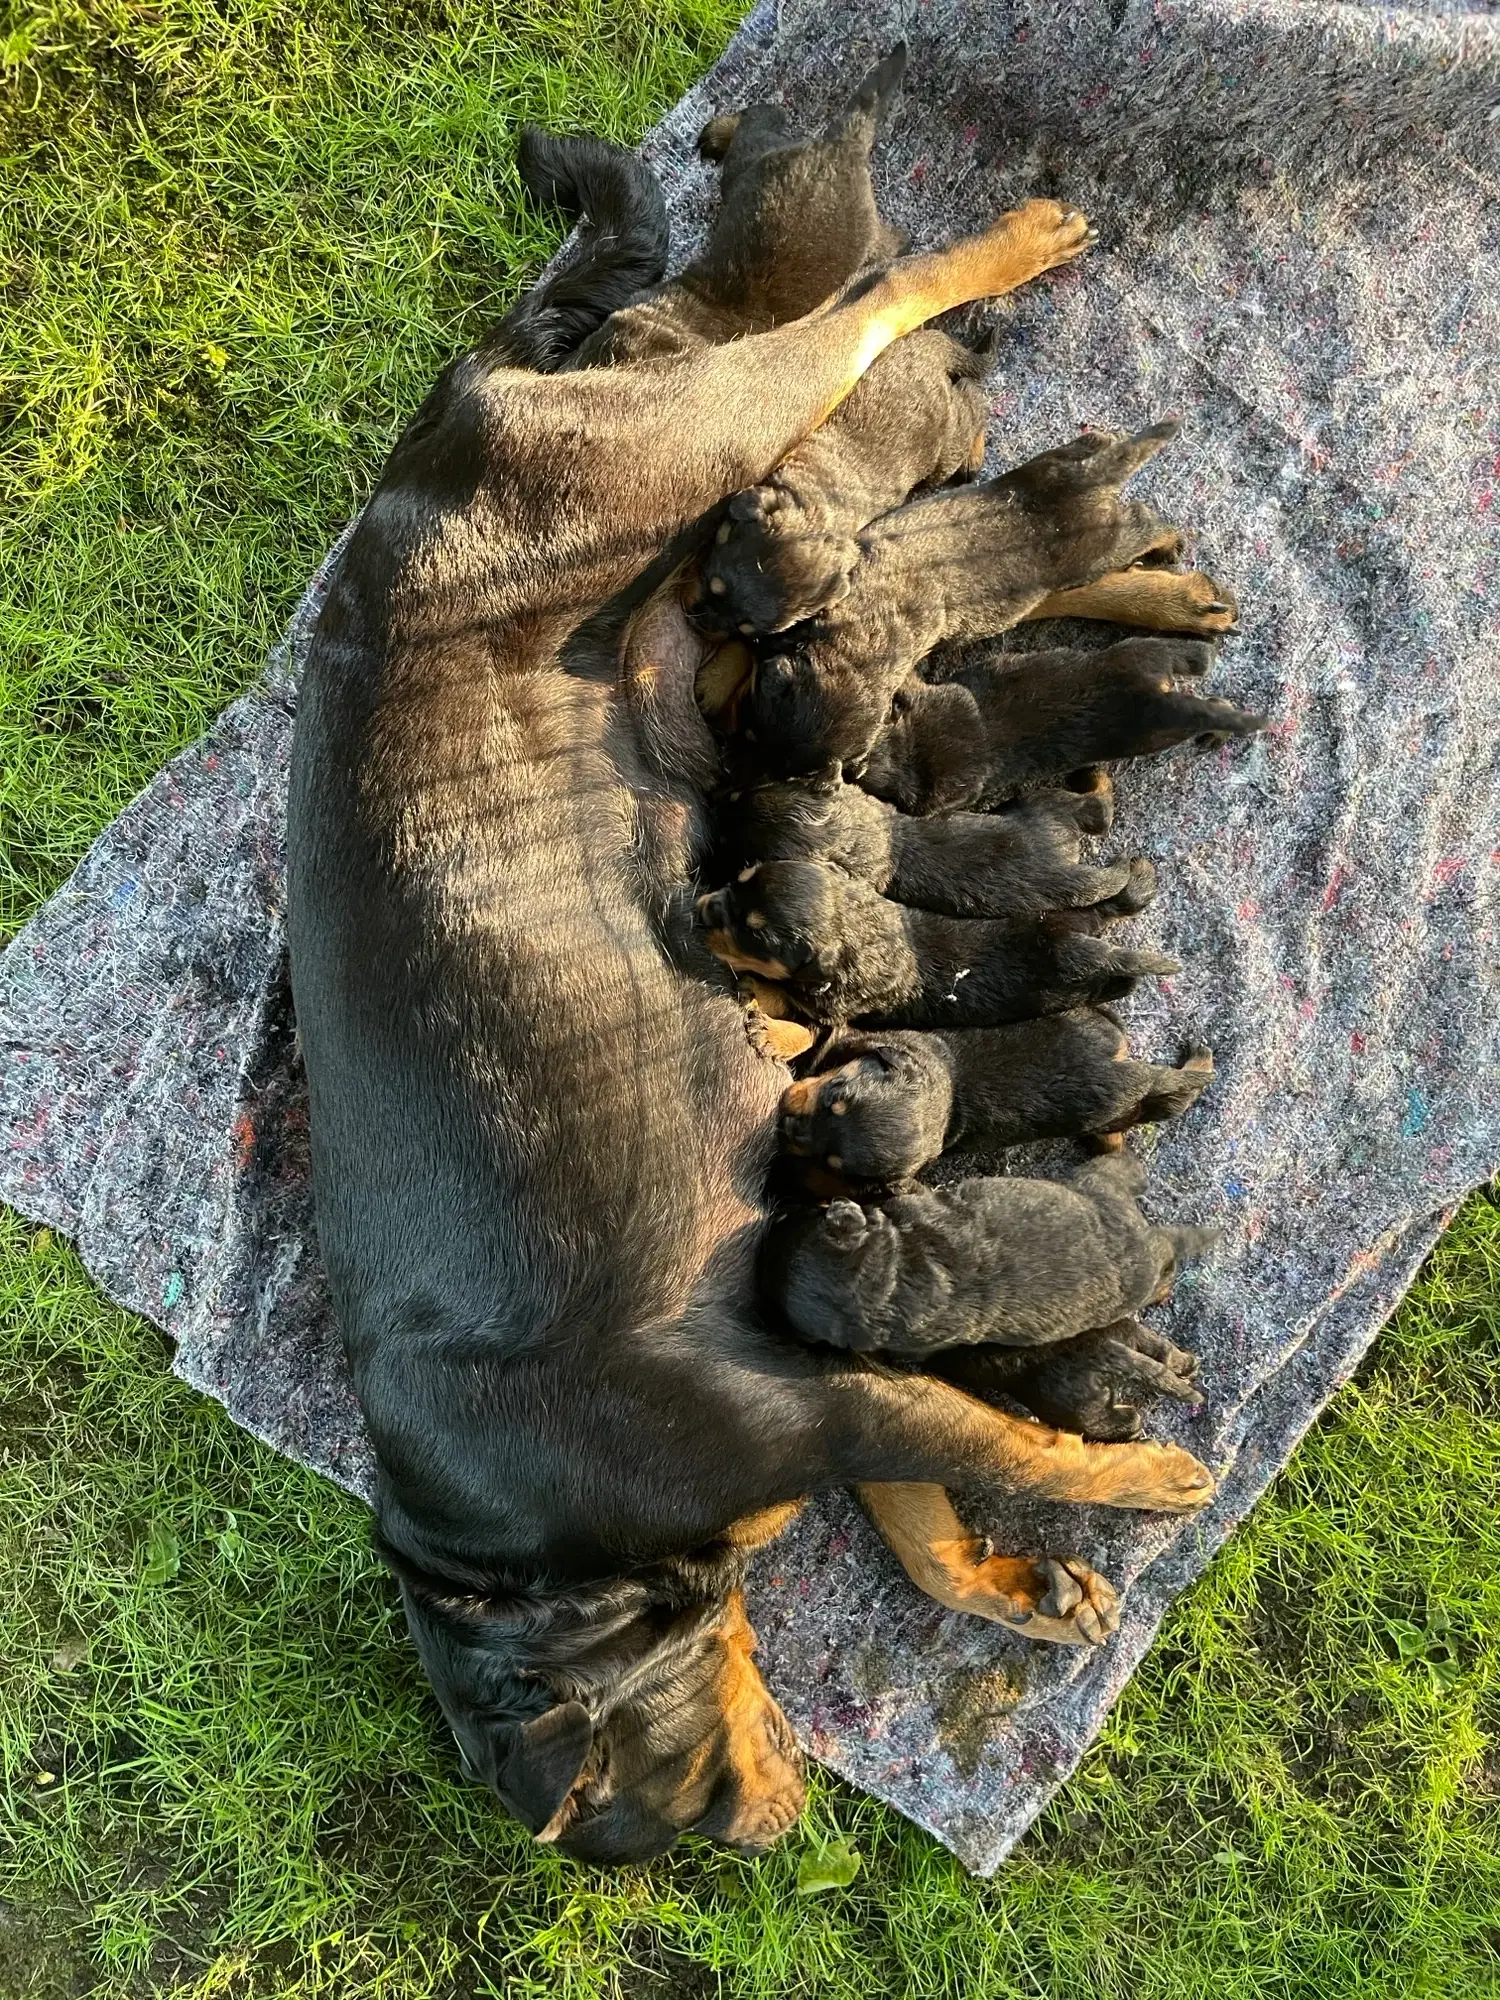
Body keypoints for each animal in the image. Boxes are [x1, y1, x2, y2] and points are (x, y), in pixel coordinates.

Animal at [732, 420, 1248, 772]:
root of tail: (1086, 487)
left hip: (1102, 539)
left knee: (1140, 520)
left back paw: (1166, 549)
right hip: (1056, 470)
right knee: (1093, 458)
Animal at [780, 1008, 1216, 1176]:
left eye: (832, 1163)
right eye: (835, 1094)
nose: (787, 1125)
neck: (945, 1090)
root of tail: (1125, 1069)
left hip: (1109, 1109)